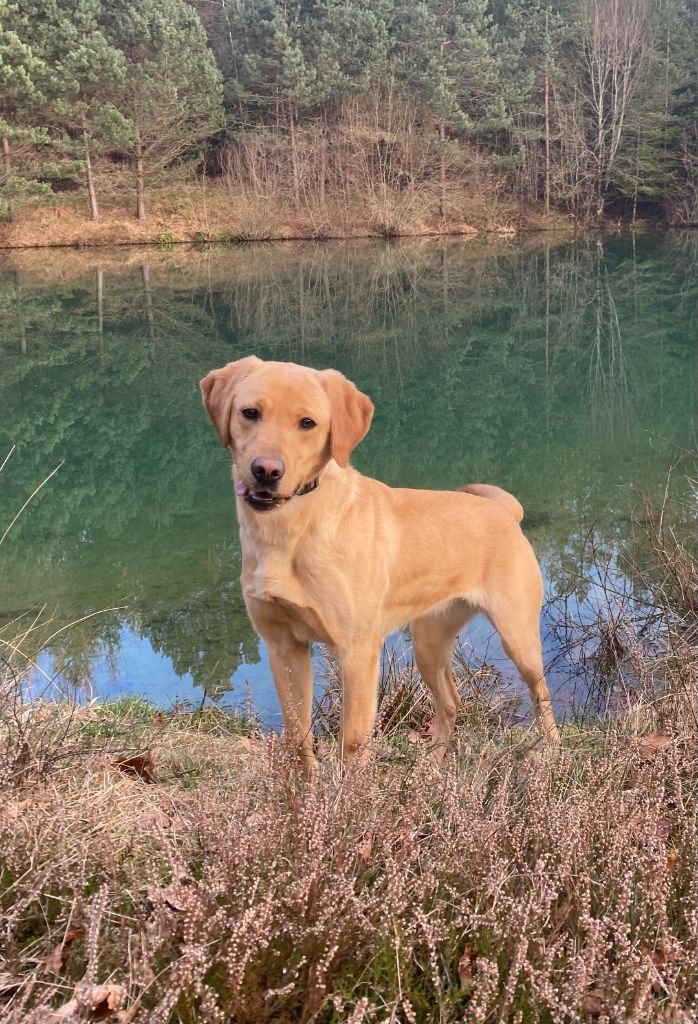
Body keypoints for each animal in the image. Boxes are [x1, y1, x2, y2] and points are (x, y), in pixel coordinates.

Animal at [198, 356, 556, 770]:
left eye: (308, 423)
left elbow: (352, 744)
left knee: (541, 695)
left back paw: (552, 753)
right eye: (250, 413)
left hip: (519, 638)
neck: (291, 533)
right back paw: (431, 771)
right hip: (429, 642)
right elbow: (297, 739)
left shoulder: (358, 651)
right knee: (451, 703)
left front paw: (351, 789)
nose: (266, 471)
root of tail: (504, 510)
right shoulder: (283, 646)